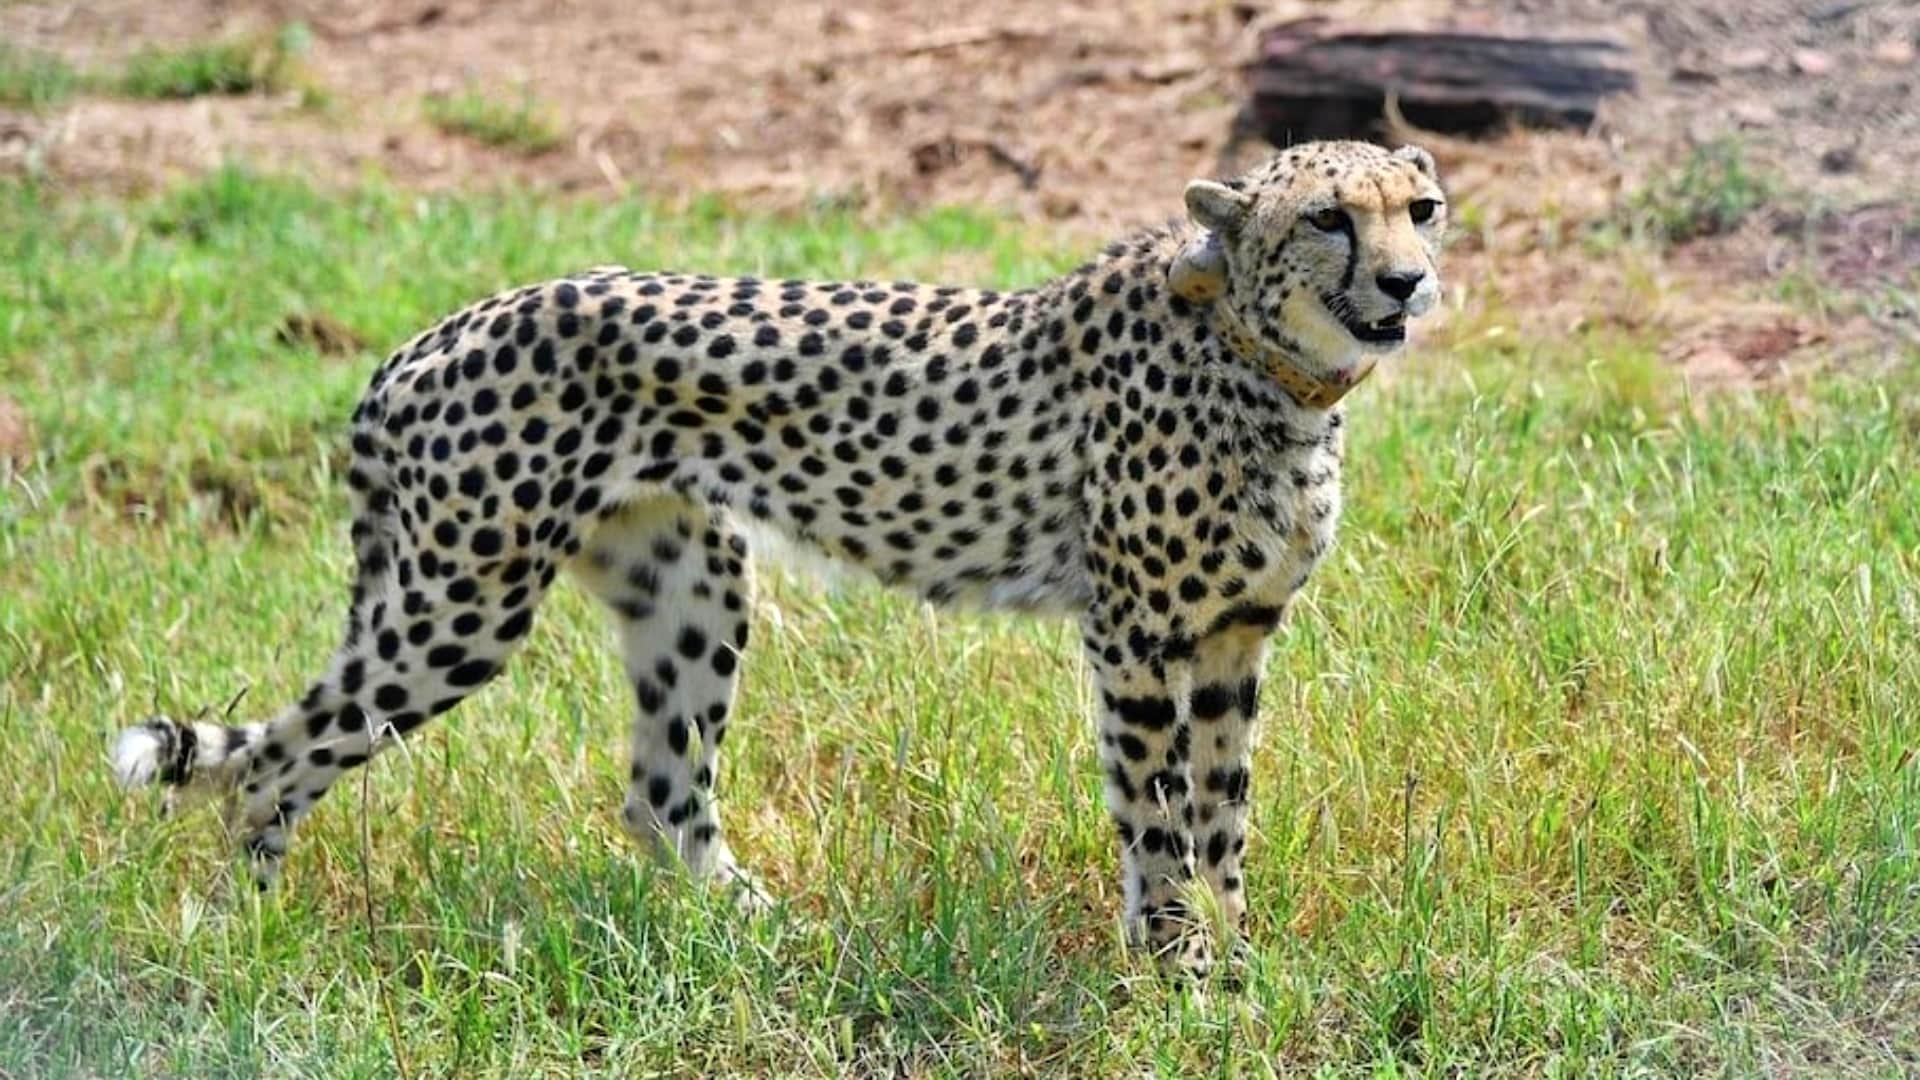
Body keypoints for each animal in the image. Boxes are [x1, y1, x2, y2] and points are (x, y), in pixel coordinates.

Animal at [109, 139, 1447, 975]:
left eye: (1419, 209)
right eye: (1328, 217)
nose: (1407, 281)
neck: (1272, 366)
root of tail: (427, 338)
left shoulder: (1232, 638)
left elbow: (1224, 816)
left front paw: (1238, 959)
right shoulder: (1135, 637)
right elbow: (1157, 819)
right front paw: (1180, 974)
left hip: (689, 585)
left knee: (660, 794)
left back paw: (769, 935)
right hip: (462, 603)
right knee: (269, 763)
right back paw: (252, 938)